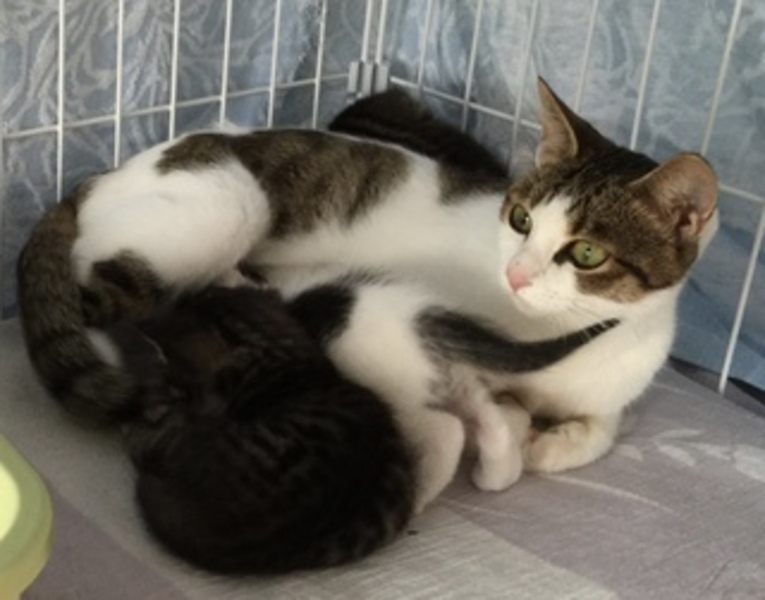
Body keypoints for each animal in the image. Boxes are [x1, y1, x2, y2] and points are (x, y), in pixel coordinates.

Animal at [17, 78, 719, 475]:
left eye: (587, 254)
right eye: (520, 219)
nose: (516, 273)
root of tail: (99, 176)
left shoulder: (618, 379)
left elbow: (605, 426)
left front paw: (560, 442)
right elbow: (485, 398)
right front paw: (518, 435)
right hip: (230, 199)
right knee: (92, 291)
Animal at [122, 271, 614, 574]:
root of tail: (417, 317)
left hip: (393, 388)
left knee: (447, 431)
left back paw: (422, 493)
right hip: (452, 378)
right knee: (486, 414)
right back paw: (497, 472)